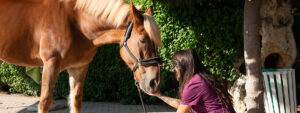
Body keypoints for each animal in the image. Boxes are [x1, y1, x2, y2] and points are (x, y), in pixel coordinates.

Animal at [0, 0, 162, 112]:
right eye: (143, 40)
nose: (154, 81)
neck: (76, 23)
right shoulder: (51, 64)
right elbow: (45, 102)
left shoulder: (79, 67)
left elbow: (76, 101)